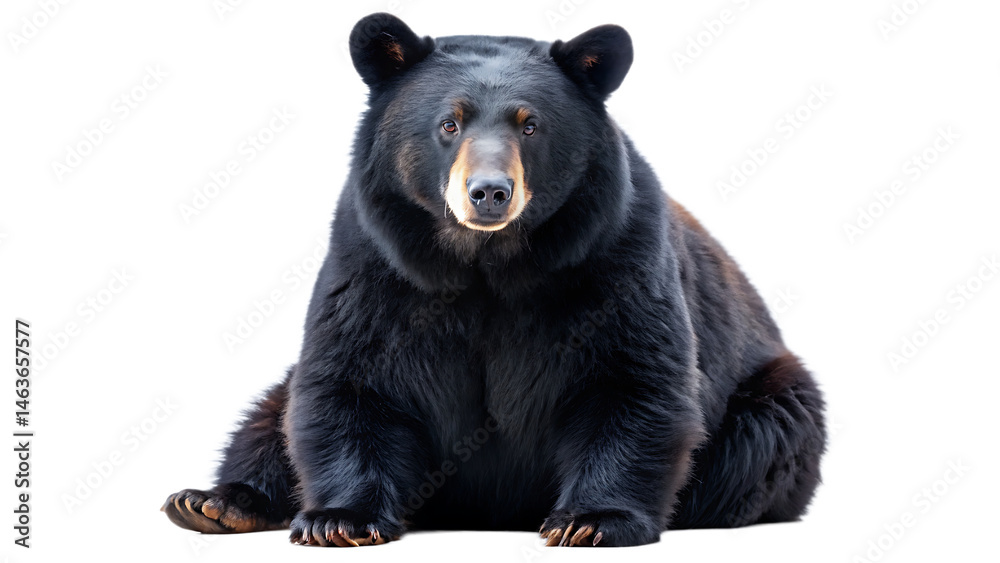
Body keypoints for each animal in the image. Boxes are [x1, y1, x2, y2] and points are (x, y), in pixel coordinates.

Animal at [162, 12, 826, 547]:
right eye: (448, 123)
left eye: (530, 125)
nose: (488, 192)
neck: (486, 264)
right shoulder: (377, 263)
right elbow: (352, 379)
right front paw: (339, 518)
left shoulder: (613, 257)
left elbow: (632, 379)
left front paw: (591, 520)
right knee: (269, 416)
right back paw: (213, 503)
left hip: (772, 406)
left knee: (754, 447)